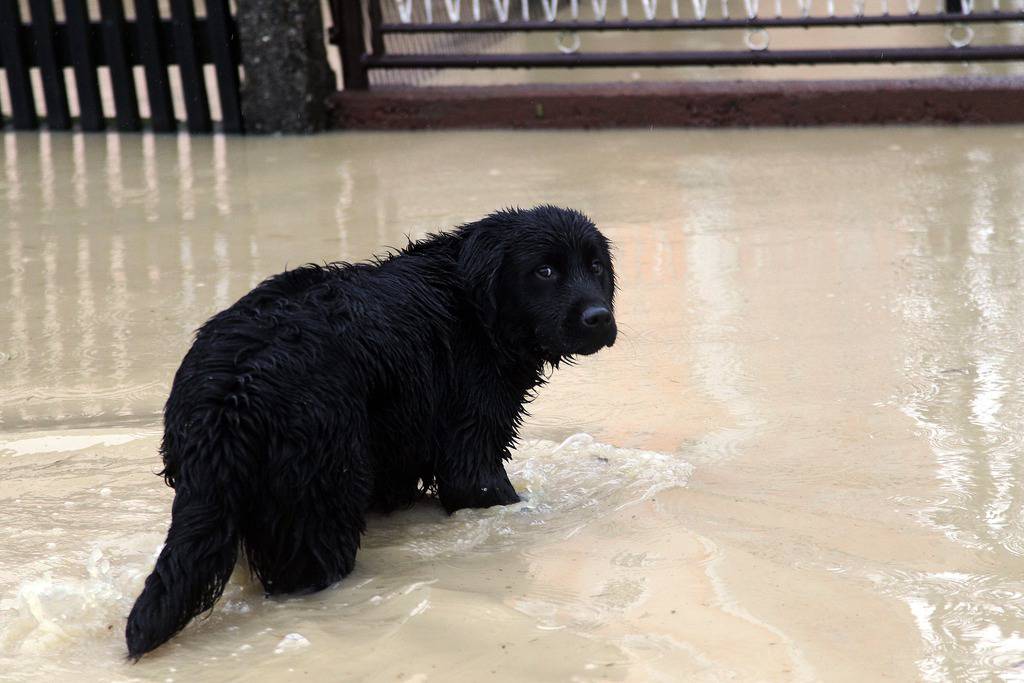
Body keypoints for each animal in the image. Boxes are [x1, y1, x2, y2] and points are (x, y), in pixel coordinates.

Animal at [125, 206, 614, 655]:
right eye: (545, 271)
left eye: (595, 267)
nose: (599, 317)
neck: (473, 307)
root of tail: (230, 386)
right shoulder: (472, 446)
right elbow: (487, 490)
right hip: (323, 494)